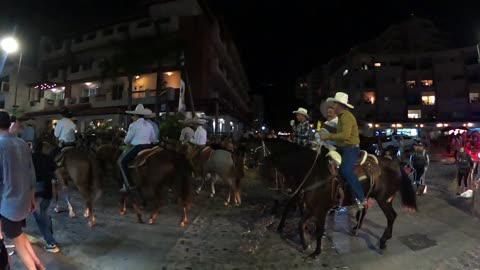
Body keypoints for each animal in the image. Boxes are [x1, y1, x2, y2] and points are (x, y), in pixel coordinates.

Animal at [249, 138, 418, 258]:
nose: (275, 193)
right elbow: (300, 223)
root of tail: (395, 164)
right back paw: (358, 229)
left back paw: (382, 241)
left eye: (253, 151)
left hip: (384, 200)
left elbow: (318, 230)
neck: (313, 173)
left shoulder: (321, 209)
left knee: (391, 216)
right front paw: (305, 243)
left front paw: (316, 251)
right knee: (369, 211)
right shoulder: (310, 206)